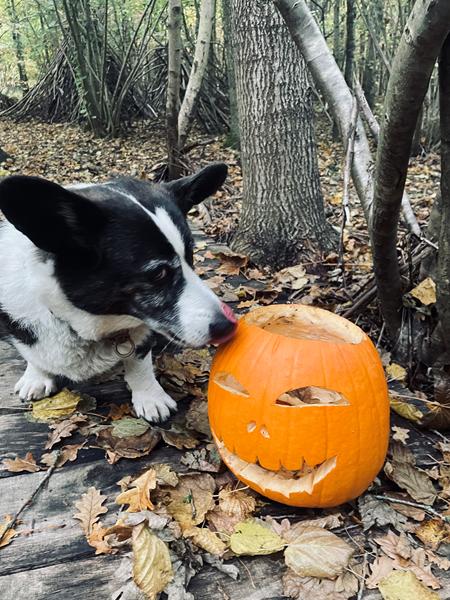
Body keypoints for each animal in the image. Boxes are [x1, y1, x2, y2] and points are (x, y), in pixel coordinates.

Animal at [0, 163, 236, 422]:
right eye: (159, 274)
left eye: (190, 258)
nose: (229, 325)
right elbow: (33, 355)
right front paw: (37, 376)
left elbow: (139, 364)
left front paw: (150, 397)